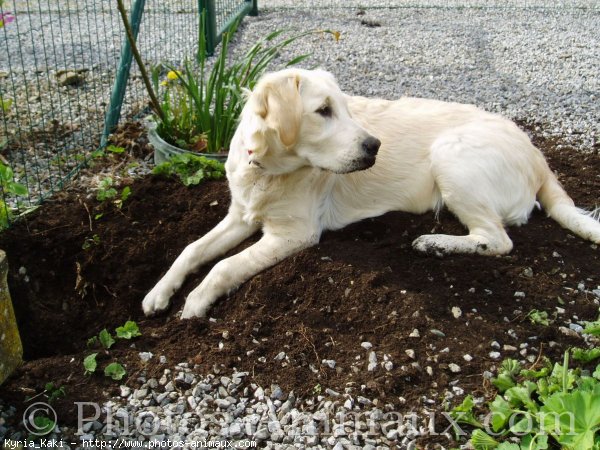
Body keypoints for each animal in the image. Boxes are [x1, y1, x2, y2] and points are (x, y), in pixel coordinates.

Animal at [144, 68, 600, 318]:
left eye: (346, 109)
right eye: (324, 111)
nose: (375, 146)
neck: (269, 170)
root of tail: (538, 154)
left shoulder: (294, 234)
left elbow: (225, 266)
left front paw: (196, 300)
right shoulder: (240, 215)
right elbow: (191, 250)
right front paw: (158, 293)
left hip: (452, 157)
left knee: (498, 240)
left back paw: (436, 243)